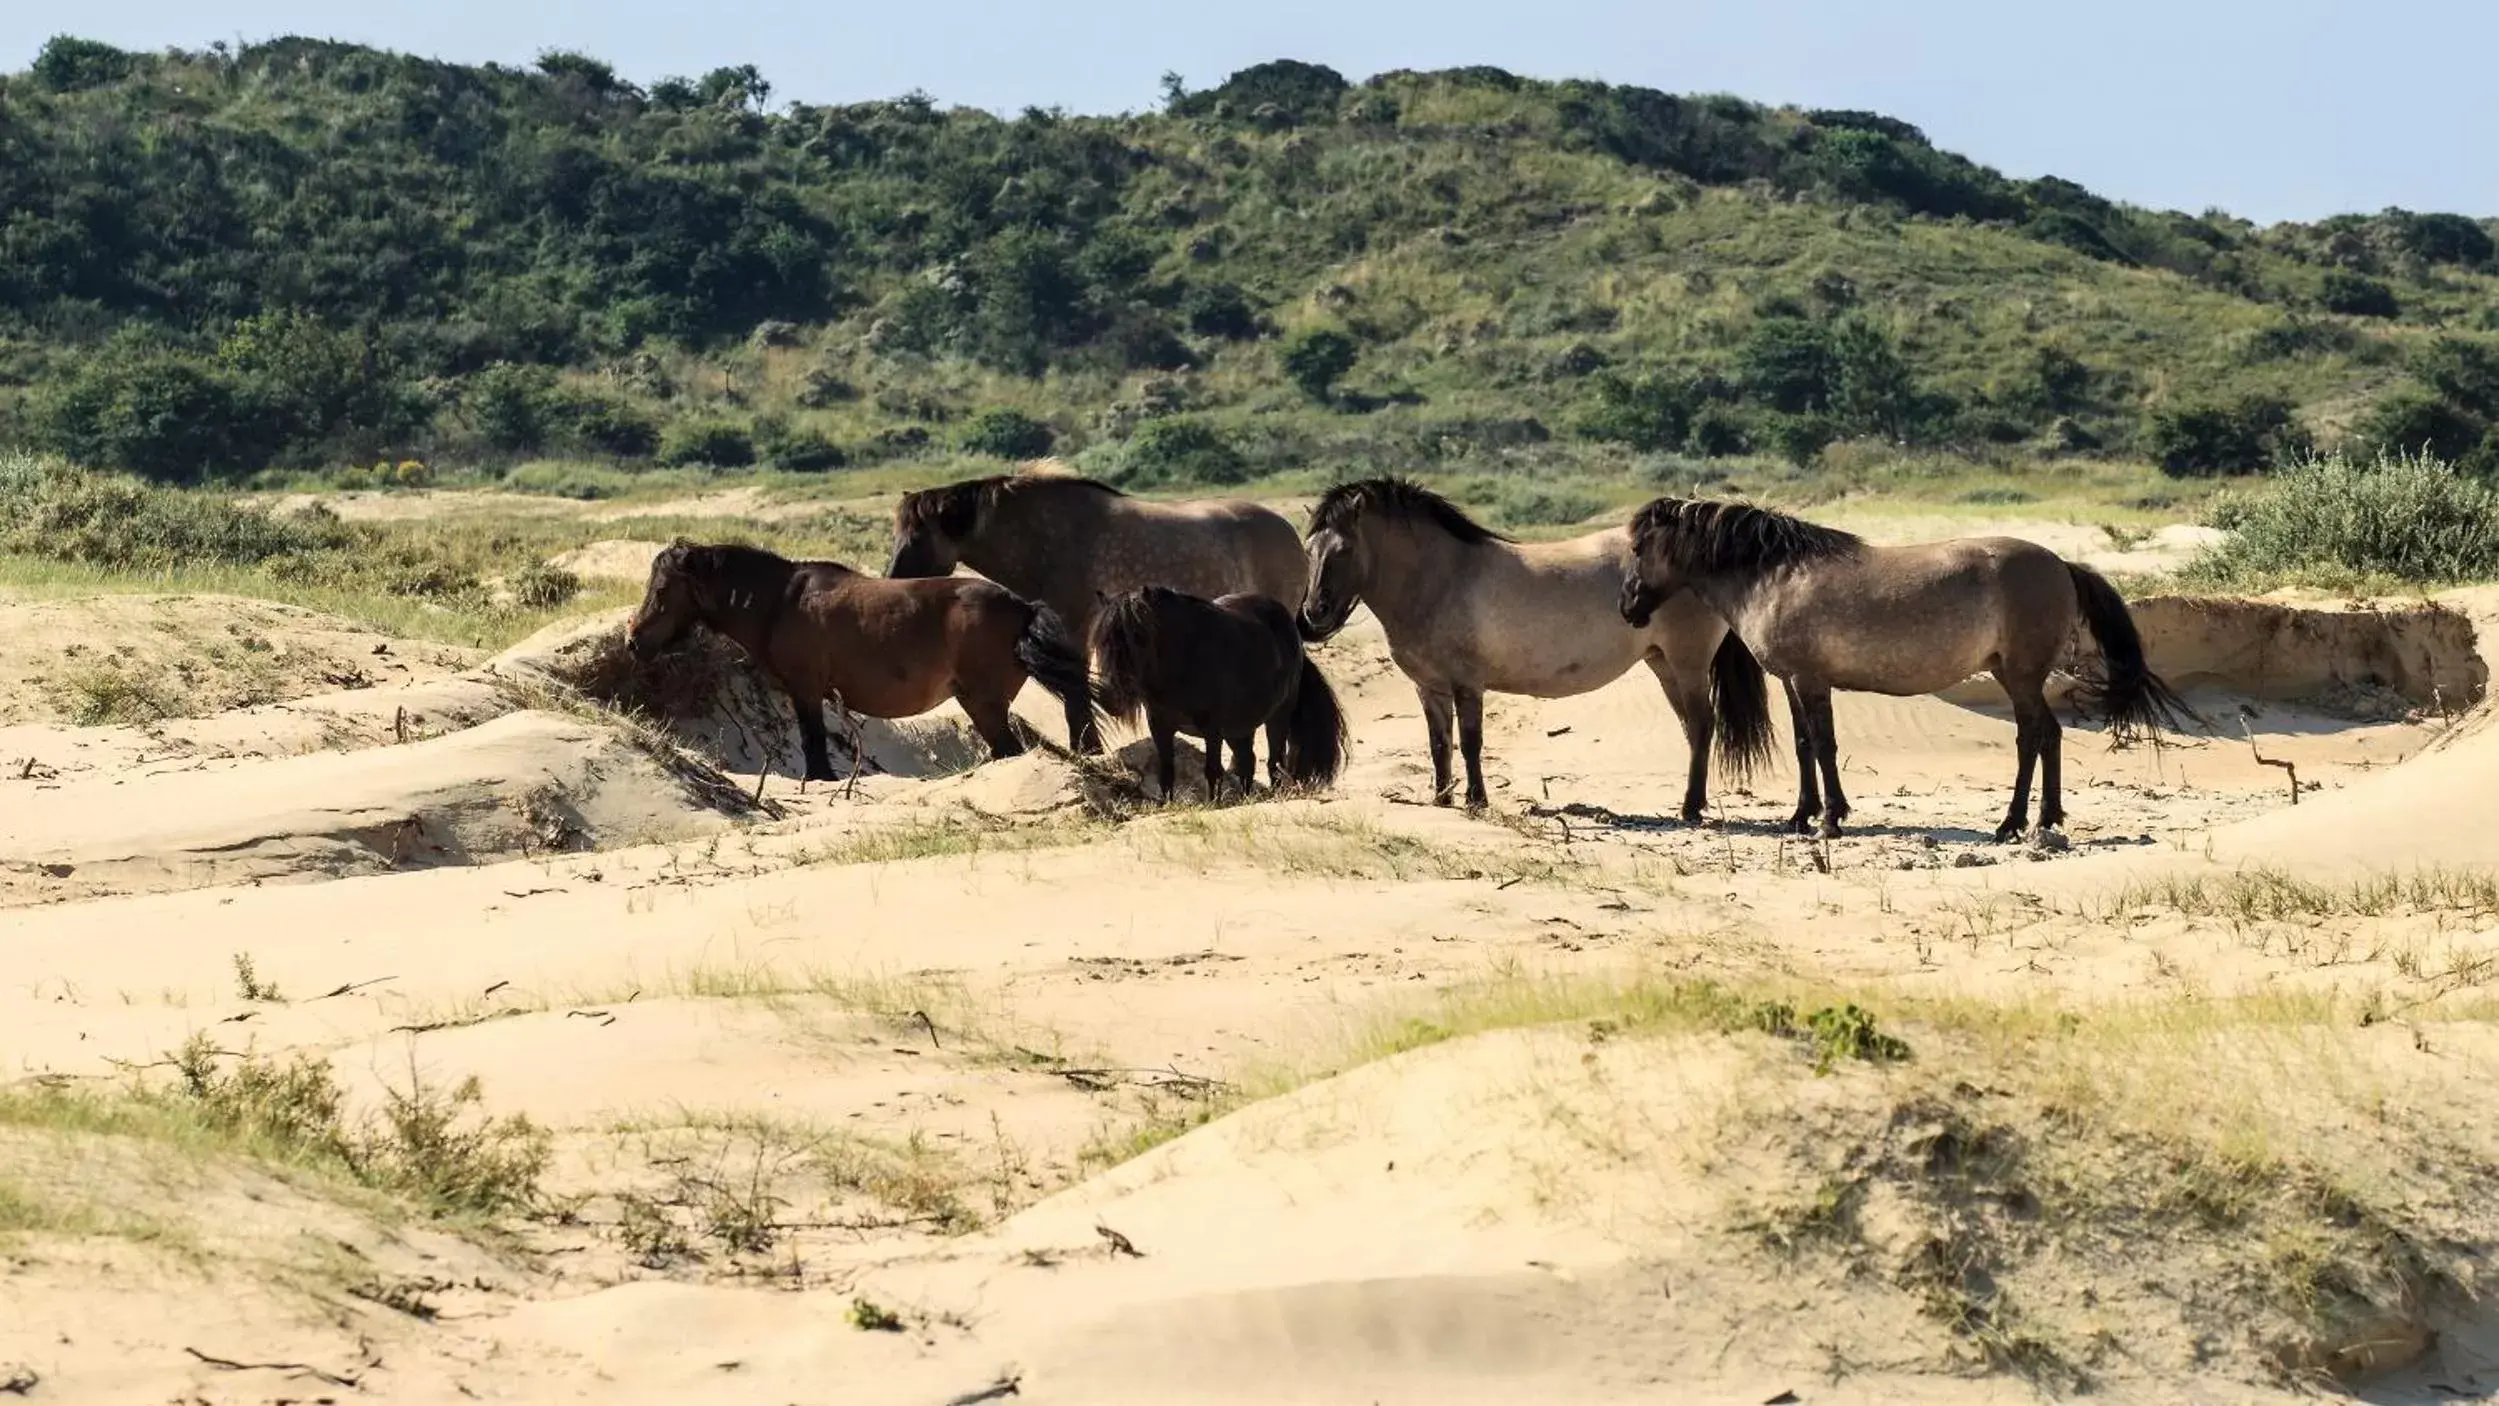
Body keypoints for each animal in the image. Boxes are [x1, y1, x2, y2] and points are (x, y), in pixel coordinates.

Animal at [624, 539, 1094, 779]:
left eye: (662, 590)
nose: (633, 641)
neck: (780, 602)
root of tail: (1022, 607)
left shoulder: (806, 689)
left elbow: (813, 744)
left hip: (983, 704)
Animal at [884, 469, 1309, 759]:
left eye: (918, 535)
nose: (891, 582)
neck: (1044, 538)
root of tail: (1291, 533)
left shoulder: (1074, 629)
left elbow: (1076, 697)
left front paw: (1087, 750)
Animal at [1089, 584, 1349, 804]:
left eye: (1139, 638)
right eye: (1101, 641)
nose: (1109, 697)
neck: (1184, 659)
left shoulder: (1212, 729)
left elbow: (1213, 770)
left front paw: (1213, 805)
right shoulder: (1160, 727)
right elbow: (1167, 772)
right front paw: (1168, 805)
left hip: (1277, 718)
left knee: (1274, 762)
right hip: (1240, 729)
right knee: (1248, 762)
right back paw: (1246, 800)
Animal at [1289, 479, 1779, 819]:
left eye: (1343, 550)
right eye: (1308, 550)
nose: (1313, 615)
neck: (1439, 578)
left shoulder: (1467, 684)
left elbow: (1470, 742)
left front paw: (1476, 801)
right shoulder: (1429, 688)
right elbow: (1439, 743)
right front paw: (1442, 799)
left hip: (1687, 663)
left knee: (1701, 724)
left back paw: (1691, 808)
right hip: (1664, 665)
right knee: (1692, 727)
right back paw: (1693, 802)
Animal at [1619, 496, 2189, 844]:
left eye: (1639, 547)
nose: (1627, 607)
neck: (1776, 576)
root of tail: (2062, 565)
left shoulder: (1811, 681)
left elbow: (1824, 746)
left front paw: (1830, 820)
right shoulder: (1793, 682)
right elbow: (1804, 747)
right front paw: (1801, 817)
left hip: (2023, 676)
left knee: (2039, 735)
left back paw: (2020, 823)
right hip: (2009, 675)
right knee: (2038, 736)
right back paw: (2031, 821)